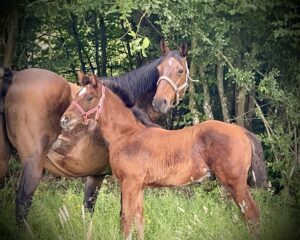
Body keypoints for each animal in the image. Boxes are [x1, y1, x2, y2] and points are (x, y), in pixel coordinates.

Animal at [0, 39, 190, 223]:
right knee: (22, 203)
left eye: (180, 70)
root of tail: (14, 77)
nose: (159, 101)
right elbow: (124, 213)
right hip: (33, 164)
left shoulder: (96, 175)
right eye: (159, 69)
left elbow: (88, 210)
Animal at [61, 74, 264, 239]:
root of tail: (242, 131)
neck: (128, 135)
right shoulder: (139, 187)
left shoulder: (129, 184)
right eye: (77, 94)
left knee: (253, 216)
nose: (64, 120)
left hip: (235, 183)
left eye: (89, 97)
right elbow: (139, 222)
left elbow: (125, 221)